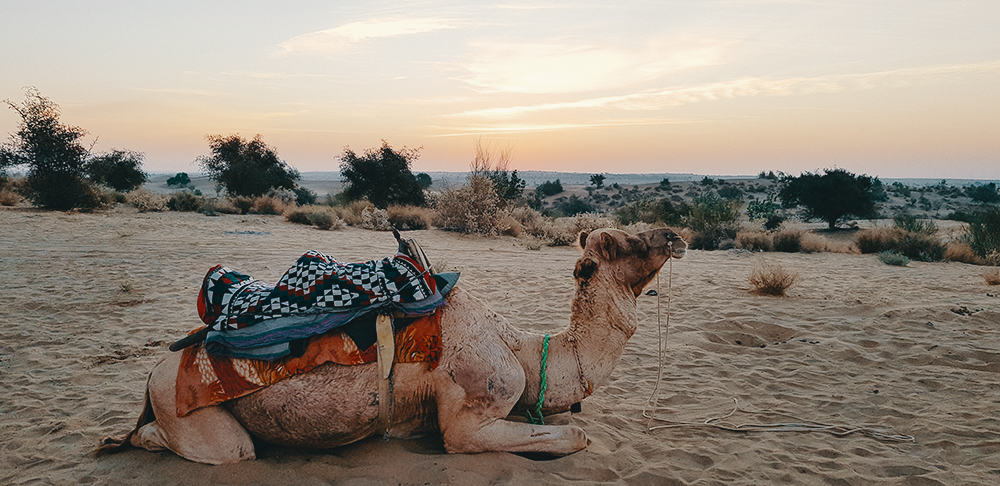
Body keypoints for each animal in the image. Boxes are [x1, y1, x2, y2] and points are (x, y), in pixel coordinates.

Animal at [103, 228, 688, 464]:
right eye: (621, 243)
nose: (672, 235)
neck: (522, 347)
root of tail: (154, 375)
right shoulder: (469, 417)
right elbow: (574, 437)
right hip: (190, 413)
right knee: (219, 450)